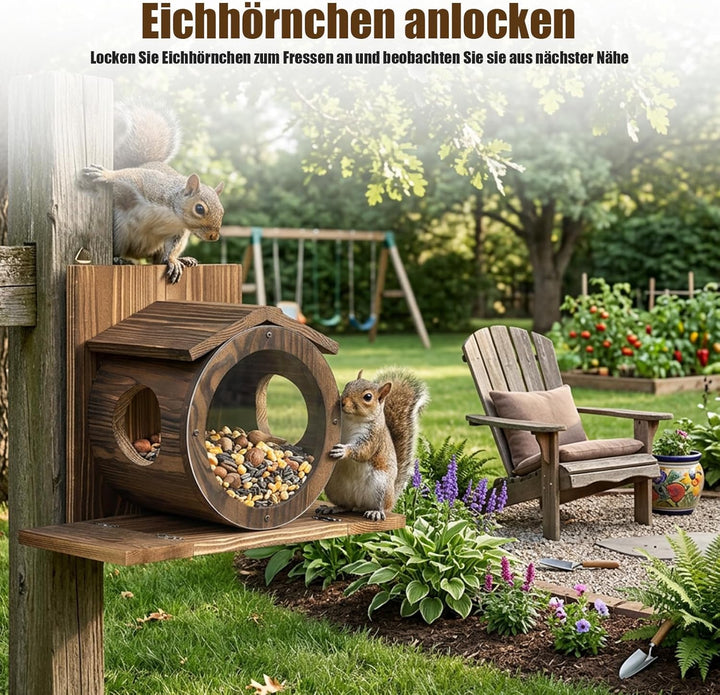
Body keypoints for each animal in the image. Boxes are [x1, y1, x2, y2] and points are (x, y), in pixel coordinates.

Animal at [82, 104, 225, 283]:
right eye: (199, 209)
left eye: (222, 211)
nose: (214, 236)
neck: (173, 216)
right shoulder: (151, 185)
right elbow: (130, 175)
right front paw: (106, 174)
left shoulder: (177, 232)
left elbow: (171, 248)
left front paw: (172, 261)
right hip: (119, 230)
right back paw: (119, 259)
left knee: (158, 259)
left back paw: (182, 259)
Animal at [317, 367, 429, 521]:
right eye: (347, 384)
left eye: (368, 397)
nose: (342, 402)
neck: (352, 419)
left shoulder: (374, 437)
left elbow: (363, 450)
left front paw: (344, 451)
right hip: (334, 487)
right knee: (346, 506)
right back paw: (334, 508)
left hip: (380, 486)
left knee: (381, 506)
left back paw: (375, 512)